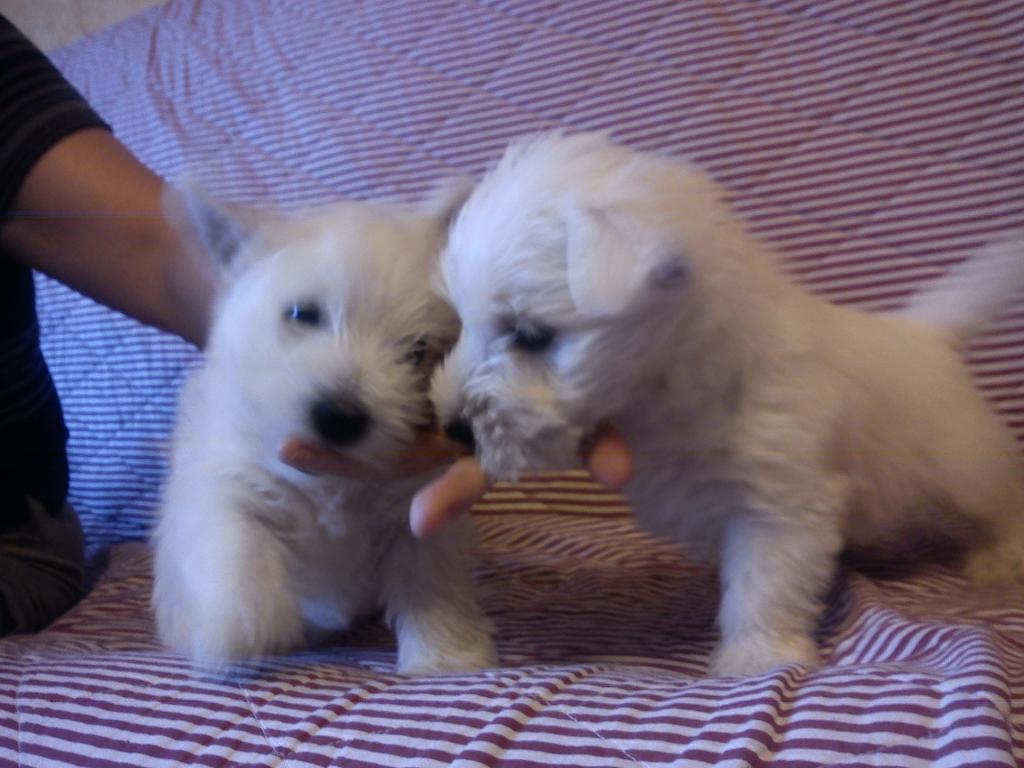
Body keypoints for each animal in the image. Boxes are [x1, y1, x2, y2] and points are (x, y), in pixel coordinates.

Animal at [152, 185, 499, 671]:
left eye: (417, 350)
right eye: (303, 313)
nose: (340, 417)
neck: (332, 481)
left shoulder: (417, 512)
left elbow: (431, 583)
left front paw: (445, 656)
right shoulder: (227, 482)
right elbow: (237, 550)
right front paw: (239, 633)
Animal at [432, 132, 1024, 679]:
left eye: (531, 335)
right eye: (460, 325)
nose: (453, 428)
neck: (679, 384)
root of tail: (927, 335)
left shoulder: (778, 508)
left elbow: (764, 587)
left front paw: (758, 657)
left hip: (963, 463)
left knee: (1001, 495)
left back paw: (1001, 557)